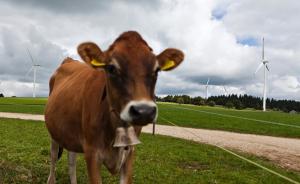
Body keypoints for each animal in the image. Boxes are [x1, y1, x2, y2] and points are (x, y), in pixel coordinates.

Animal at [44, 30, 184, 183]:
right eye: (111, 68)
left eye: (157, 70)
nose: (144, 111)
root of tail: (69, 60)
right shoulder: (92, 153)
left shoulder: (130, 152)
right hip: (54, 132)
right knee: (53, 157)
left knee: (71, 161)